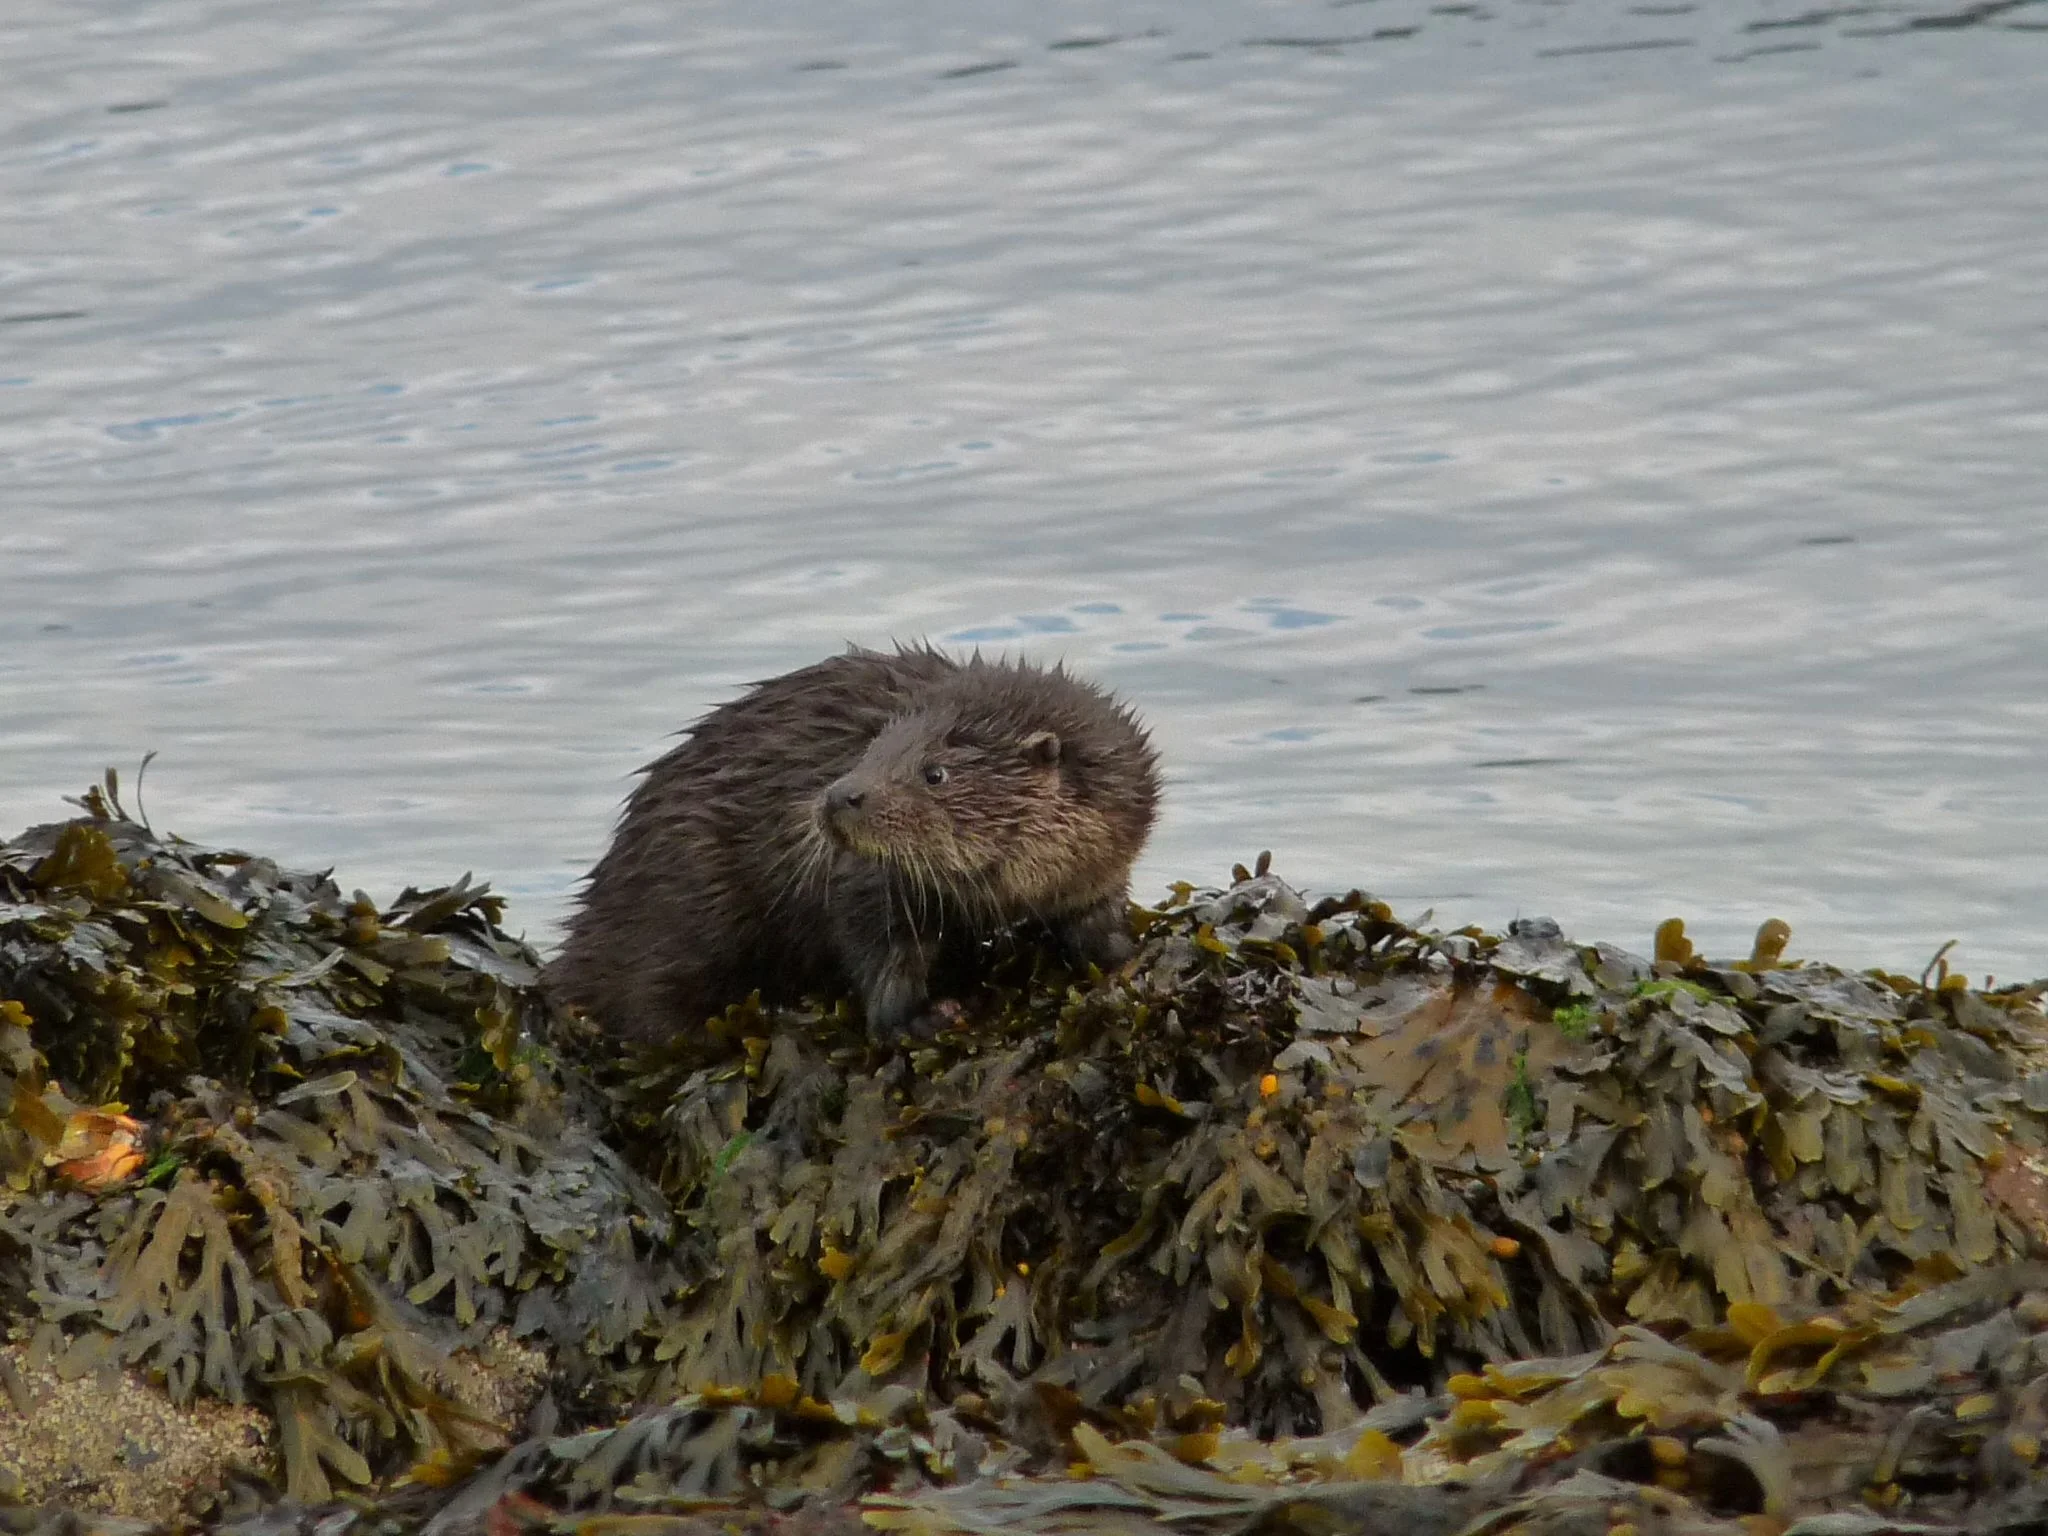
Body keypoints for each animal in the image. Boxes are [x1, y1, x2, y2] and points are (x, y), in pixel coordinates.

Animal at [546, 644, 1160, 1042]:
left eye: (934, 773)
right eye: (870, 752)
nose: (839, 796)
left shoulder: (1099, 868)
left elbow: (1096, 921)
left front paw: (1122, 956)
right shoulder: (870, 883)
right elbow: (879, 952)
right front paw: (920, 1018)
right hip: (687, 902)